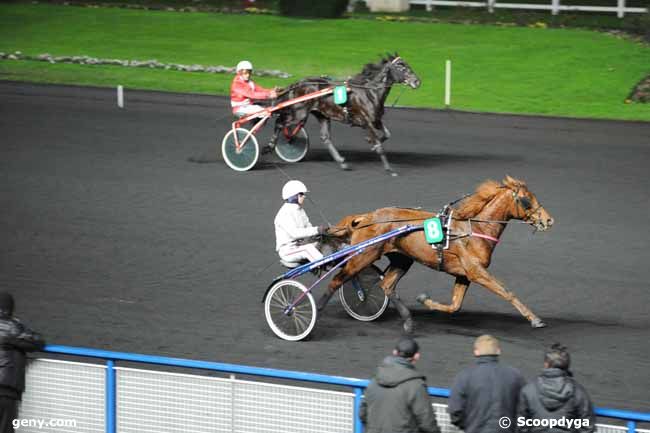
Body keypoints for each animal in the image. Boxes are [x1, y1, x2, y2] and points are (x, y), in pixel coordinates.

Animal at [270, 54, 418, 176]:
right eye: (401, 66)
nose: (417, 81)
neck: (370, 93)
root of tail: (298, 83)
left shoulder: (376, 120)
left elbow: (386, 134)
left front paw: (371, 142)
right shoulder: (366, 122)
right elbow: (380, 146)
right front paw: (389, 169)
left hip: (322, 114)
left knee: (325, 137)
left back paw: (342, 162)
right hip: (299, 113)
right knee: (280, 123)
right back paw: (273, 144)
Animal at [316, 177, 552, 332]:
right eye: (526, 200)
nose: (548, 220)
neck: (473, 230)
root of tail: (366, 217)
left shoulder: (464, 275)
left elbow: (455, 306)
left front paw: (425, 300)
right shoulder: (476, 272)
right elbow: (507, 292)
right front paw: (535, 319)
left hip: (403, 258)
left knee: (387, 285)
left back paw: (408, 321)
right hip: (363, 255)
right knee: (337, 280)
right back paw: (317, 310)